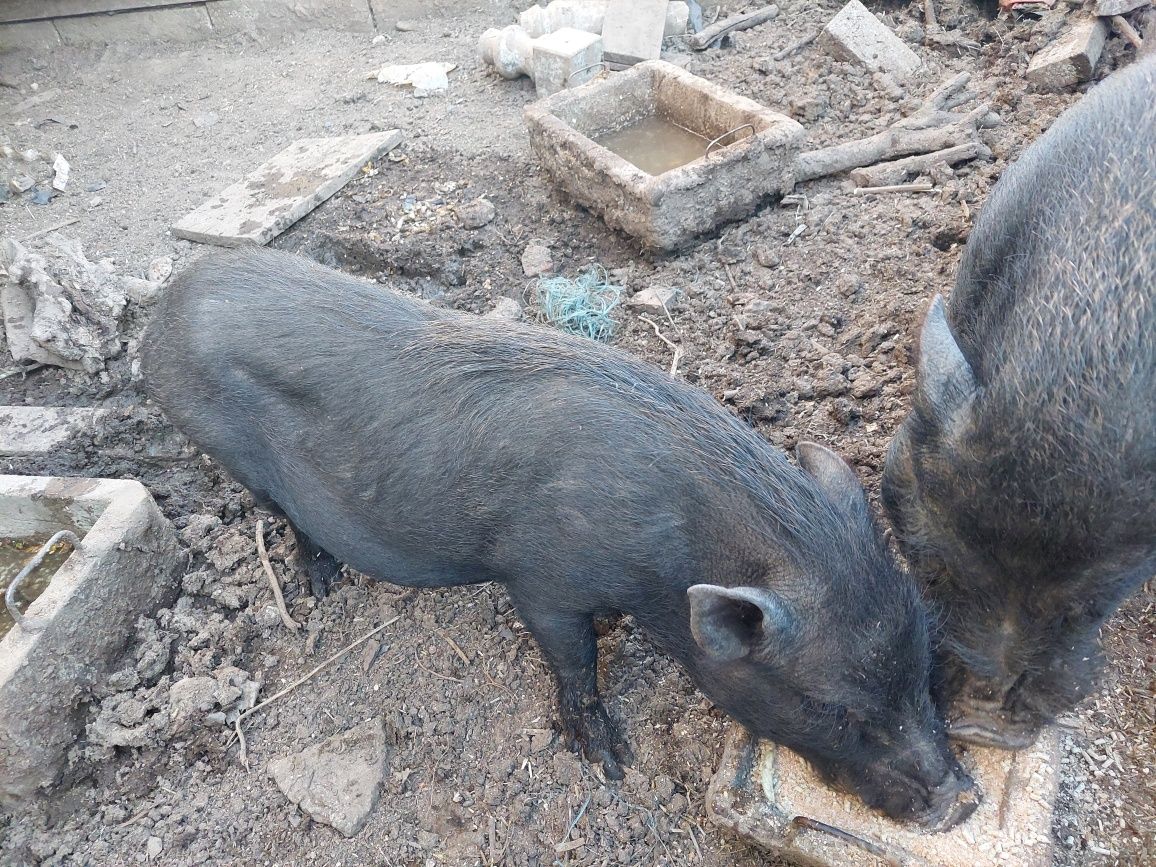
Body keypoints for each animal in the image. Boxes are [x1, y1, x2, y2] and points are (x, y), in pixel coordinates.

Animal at [142, 246, 975, 827]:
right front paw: (610, 762)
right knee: (285, 514)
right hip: (223, 443)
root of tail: (168, 302)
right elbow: (575, 663)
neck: (668, 552)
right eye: (835, 710)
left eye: (925, 668)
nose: (958, 801)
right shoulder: (540, 578)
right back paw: (321, 583)